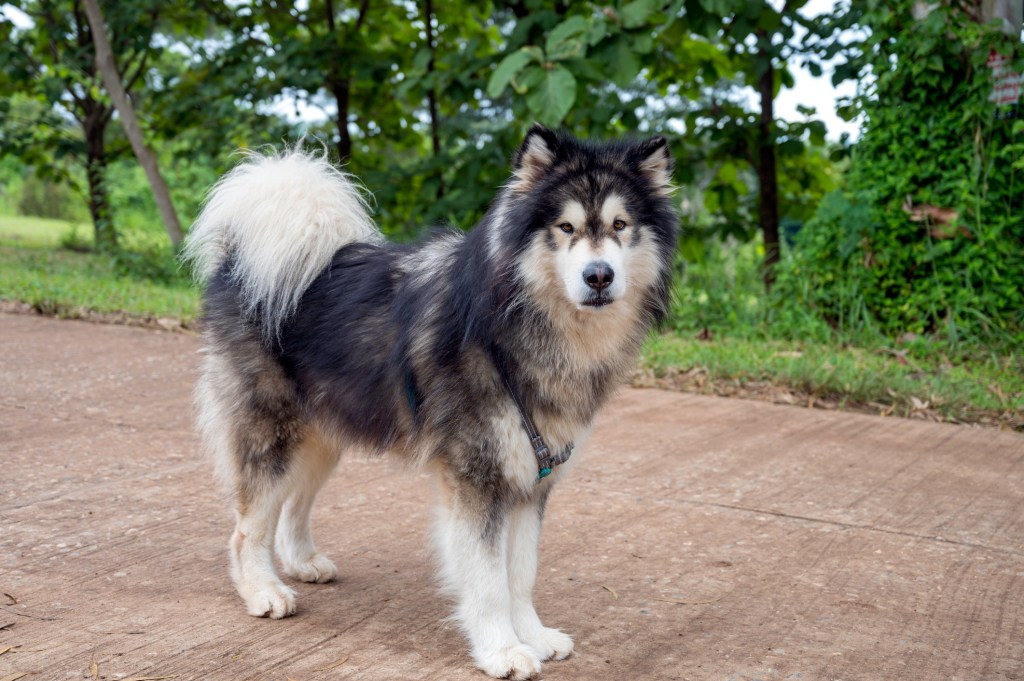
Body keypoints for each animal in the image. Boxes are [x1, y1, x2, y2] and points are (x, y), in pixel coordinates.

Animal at [184, 124, 679, 675]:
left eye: (620, 224)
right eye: (566, 227)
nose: (599, 276)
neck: (513, 318)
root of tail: (239, 263)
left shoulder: (530, 479)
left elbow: (520, 574)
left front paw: (533, 635)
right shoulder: (478, 477)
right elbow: (488, 580)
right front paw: (502, 649)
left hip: (324, 434)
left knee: (292, 503)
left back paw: (302, 562)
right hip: (274, 432)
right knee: (247, 527)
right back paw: (263, 591)